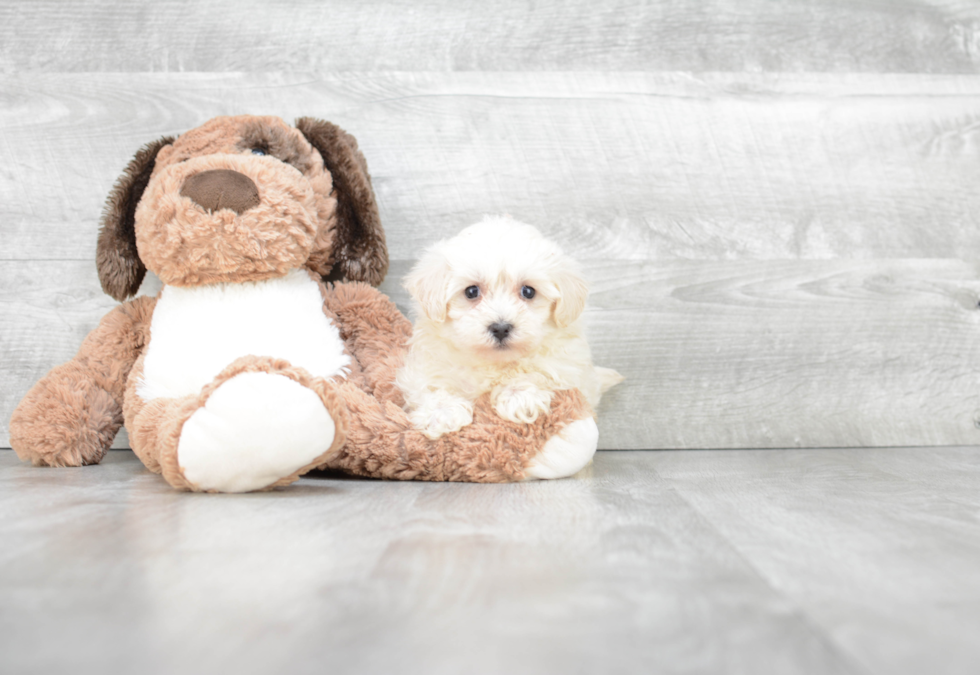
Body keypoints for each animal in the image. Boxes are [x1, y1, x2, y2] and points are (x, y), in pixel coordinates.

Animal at [396, 214, 620, 440]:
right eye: (471, 292)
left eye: (528, 291)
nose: (501, 328)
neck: (493, 363)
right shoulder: (425, 364)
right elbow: (430, 384)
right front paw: (443, 412)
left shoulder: (567, 365)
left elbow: (538, 368)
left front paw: (519, 395)